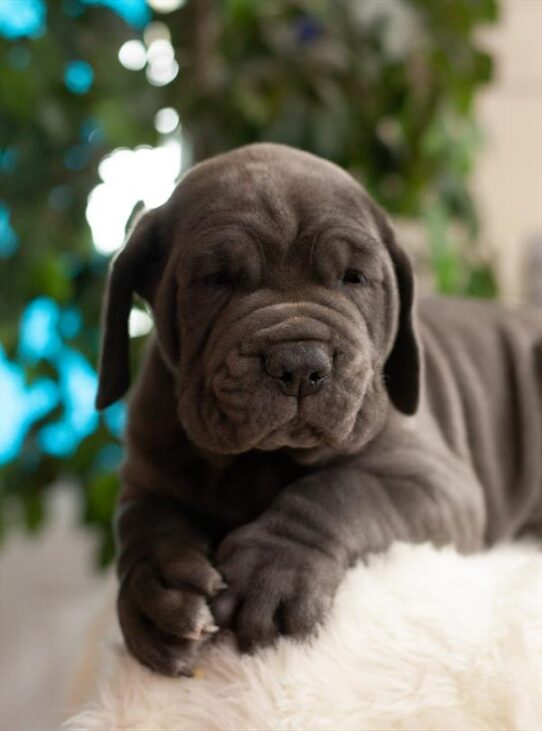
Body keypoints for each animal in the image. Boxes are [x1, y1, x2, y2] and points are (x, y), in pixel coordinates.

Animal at [96, 144, 542, 680]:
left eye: (354, 278)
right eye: (216, 279)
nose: (299, 364)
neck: (260, 461)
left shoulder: (435, 482)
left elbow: (340, 490)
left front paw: (273, 570)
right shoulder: (146, 479)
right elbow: (144, 528)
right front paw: (158, 593)